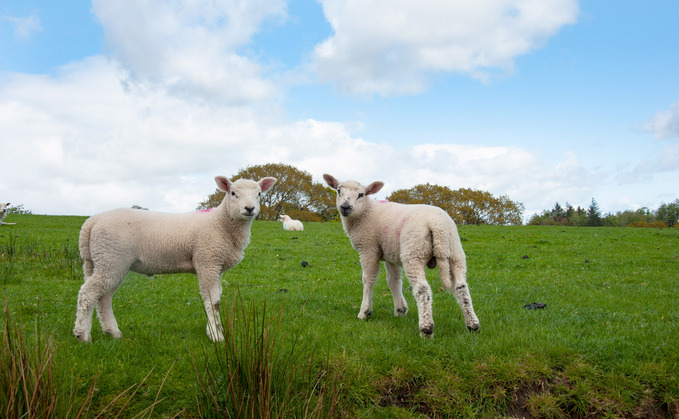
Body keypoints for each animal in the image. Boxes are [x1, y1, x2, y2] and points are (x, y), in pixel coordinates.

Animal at [71, 176, 276, 342]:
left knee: (103, 297)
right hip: (111, 258)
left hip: (103, 262)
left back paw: (112, 332)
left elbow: (217, 297)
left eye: (259, 194)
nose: (249, 208)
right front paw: (216, 336)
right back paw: (83, 335)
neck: (221, 223)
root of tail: (92, 221)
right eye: (233, 193)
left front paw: (214, 330)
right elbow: (213, 300)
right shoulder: (207, 261)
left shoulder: (216, 266)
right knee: (88, 293)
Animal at [322, 174, 478, 338]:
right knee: (461, 287)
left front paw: (364, 312)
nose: (345, 207)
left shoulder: (368, 248)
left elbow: (368, 280)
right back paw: (472, 325)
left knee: (423, 289)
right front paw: (400, 310)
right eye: (338, 191)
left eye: (361, 194)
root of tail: (437, 225)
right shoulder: (390, 253)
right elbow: (394, 281)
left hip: (413, 252)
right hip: (455, 251)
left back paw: (426, 329)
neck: (365, 212)